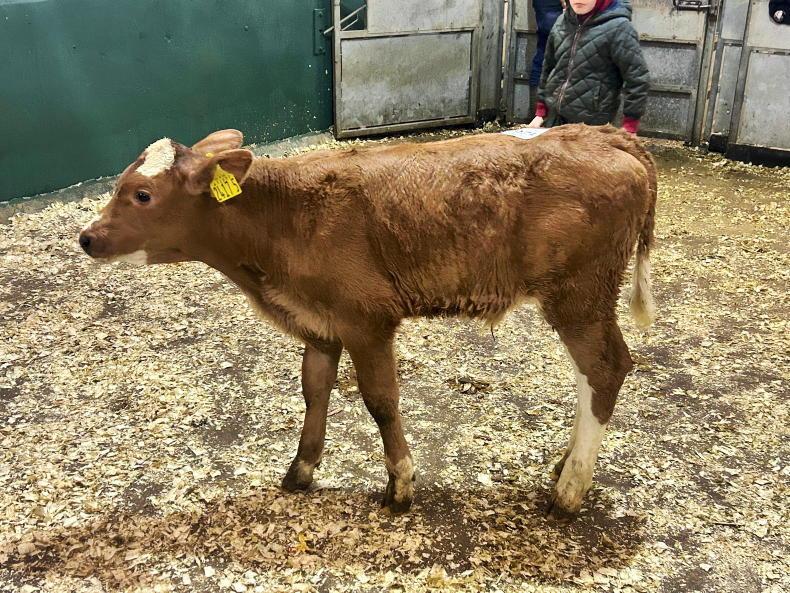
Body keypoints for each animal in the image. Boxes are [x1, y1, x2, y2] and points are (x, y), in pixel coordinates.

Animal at [79, 125, 656, 516]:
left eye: (143, 194)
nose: (86, 237)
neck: (279, 220)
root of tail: (606, 135)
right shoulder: (320, 324)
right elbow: (315, 391)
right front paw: (300, 471)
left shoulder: (366, 320)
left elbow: (380, 402)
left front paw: (400, 485)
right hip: (581, 297)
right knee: (592, 375)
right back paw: (565, 466)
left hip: (579, 293)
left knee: (605, 368)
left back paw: (569, 490)